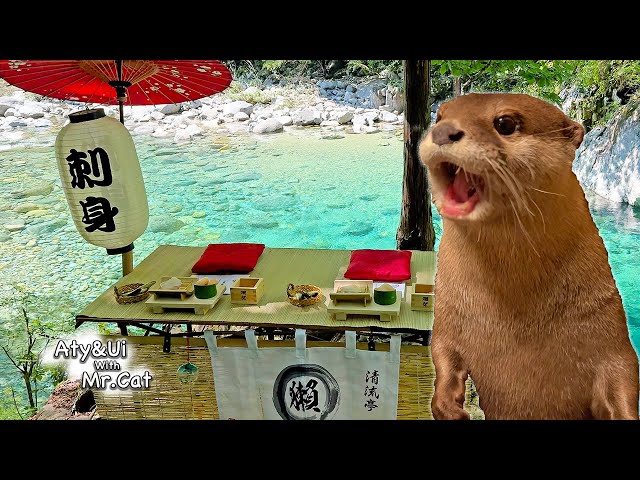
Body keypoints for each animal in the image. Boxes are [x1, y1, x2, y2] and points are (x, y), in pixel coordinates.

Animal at [419, 93, 639, 420]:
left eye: (505, 123)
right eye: (439, 116)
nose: (443, 131)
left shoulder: (609, 331)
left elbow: (623, 374)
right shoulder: (447, 315)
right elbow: (443, 354)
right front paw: (451, 408)